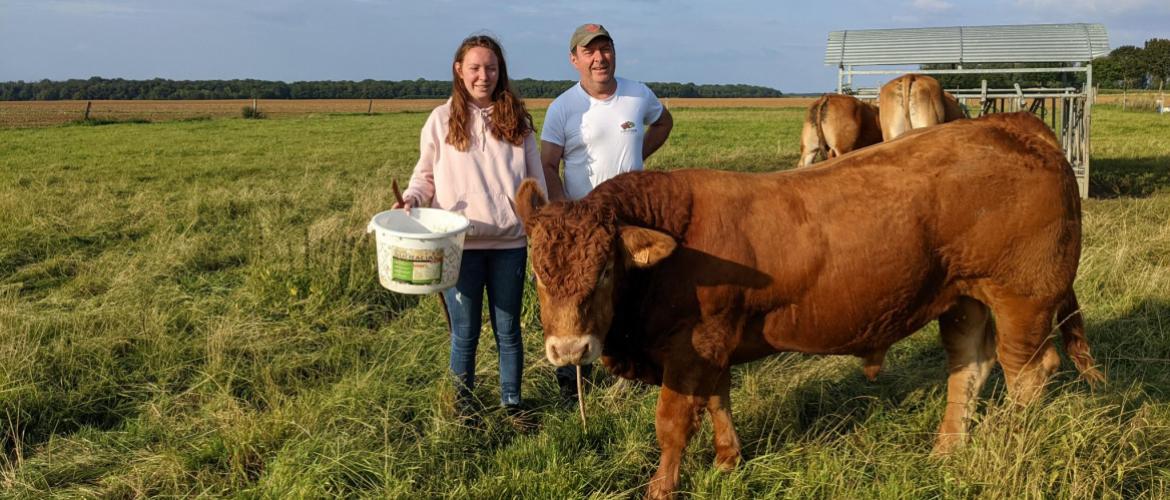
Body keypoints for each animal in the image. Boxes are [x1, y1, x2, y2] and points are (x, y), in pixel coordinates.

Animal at [517, 111, 1099, 498]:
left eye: (605, 270)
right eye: (537, 274)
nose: (569, 349)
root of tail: (1014, 124)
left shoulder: (689, 348)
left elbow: (674, 421)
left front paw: (662, 487)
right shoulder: (716, 343)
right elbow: (718, 401)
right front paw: (728, 461)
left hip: (1022, 298)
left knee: (1029, 372)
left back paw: (1010, 442)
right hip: (965, 298)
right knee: (971, 368)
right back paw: (947, 451)